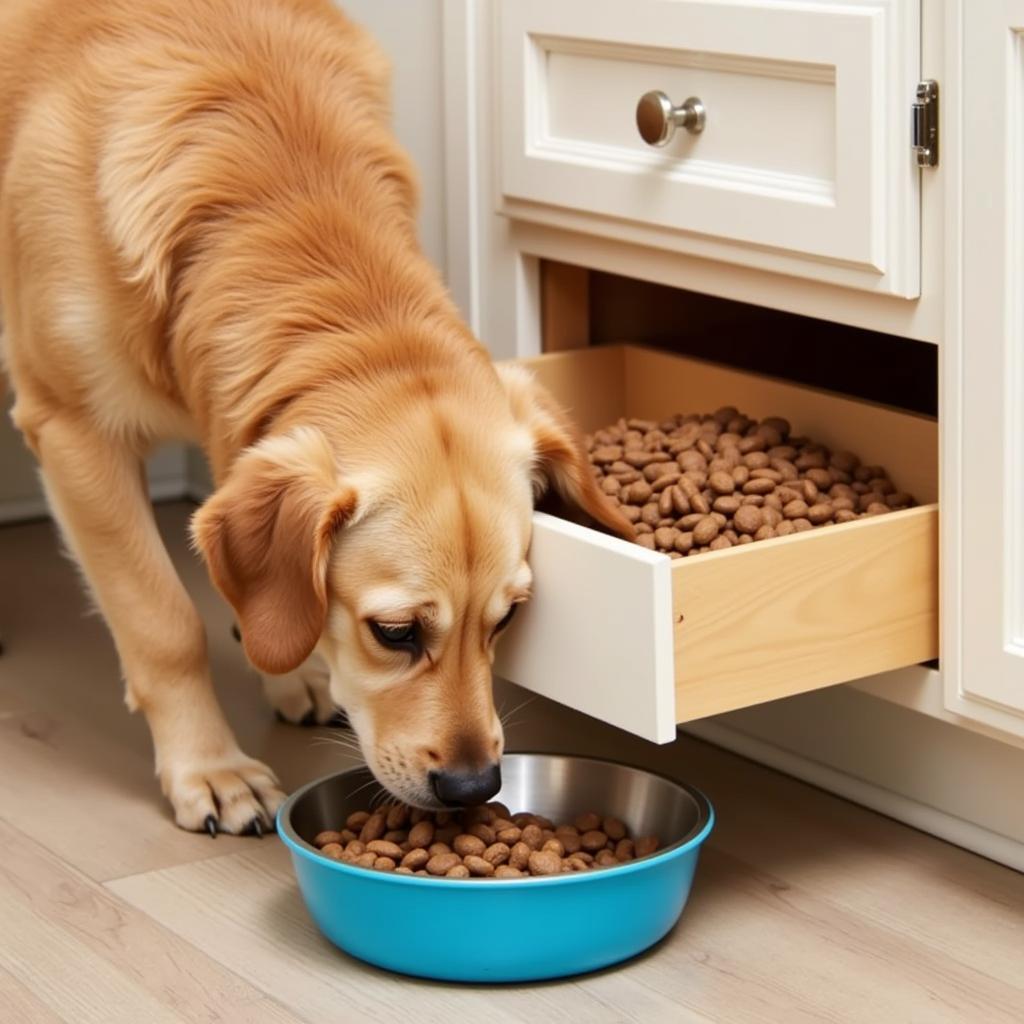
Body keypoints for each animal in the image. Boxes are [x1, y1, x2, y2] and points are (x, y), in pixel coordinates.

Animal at [0, 0, 626, 831]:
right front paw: (211, 768)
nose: (474, 787)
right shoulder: (72, 429)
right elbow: (164, 622)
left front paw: (287, 669)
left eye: (507, 620)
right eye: (395, 633)